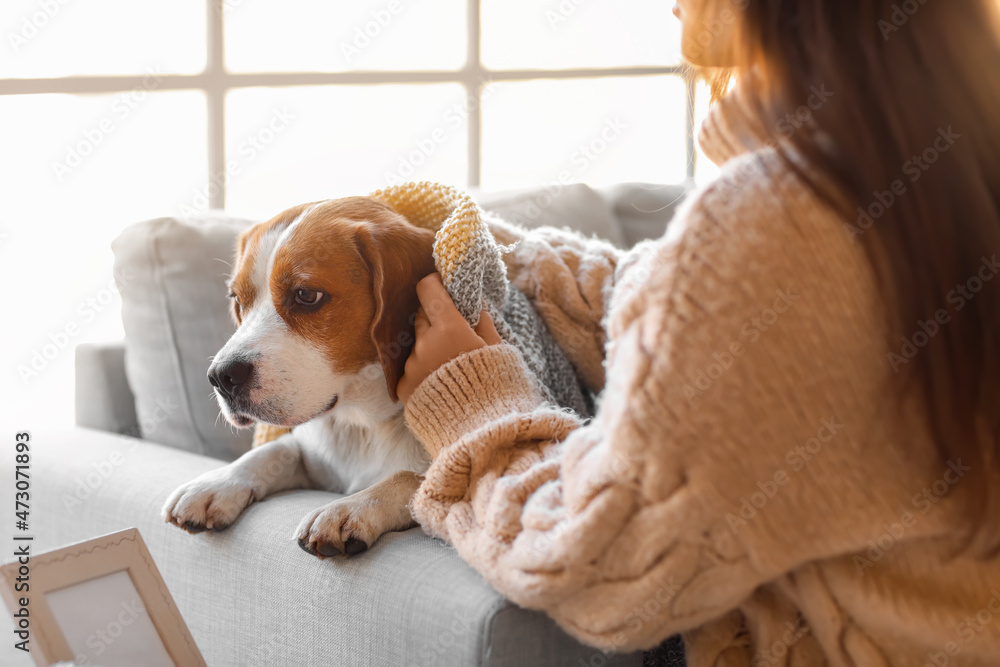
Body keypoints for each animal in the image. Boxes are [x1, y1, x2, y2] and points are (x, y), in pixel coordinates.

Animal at [162, 197, 436, 560]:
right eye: (238, 300)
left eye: (306, 295)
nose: (220, 377)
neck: (359, 426)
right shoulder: (310, 455)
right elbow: (274, 451)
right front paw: (217, 483)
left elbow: (410, 476)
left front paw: (350, 507)